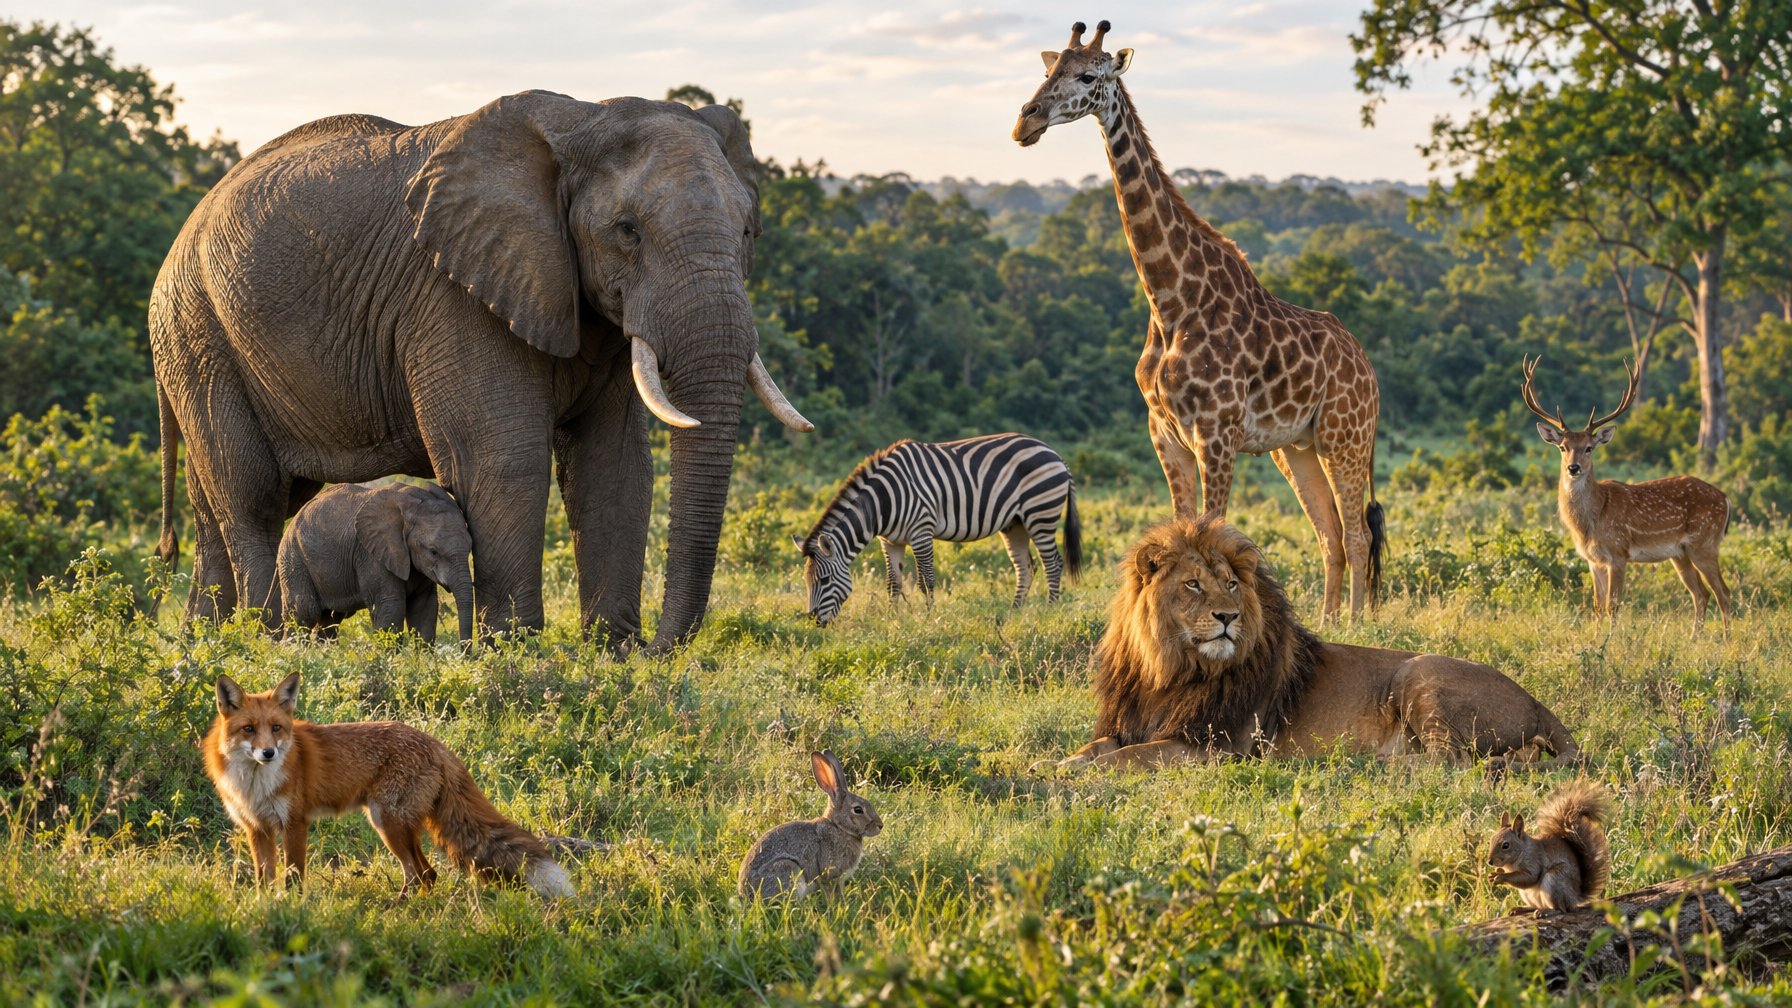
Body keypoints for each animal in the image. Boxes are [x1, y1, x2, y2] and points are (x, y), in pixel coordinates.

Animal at [794, 433, 1082, 625]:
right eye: (806, 582)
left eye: (824, 580)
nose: (812, 621)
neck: (883, 503)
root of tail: (1056, 454)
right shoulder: (890, 541)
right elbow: (893, 583)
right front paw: (891, 619)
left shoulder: (921, 532)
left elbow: (926, 581)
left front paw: (928, 619)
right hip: (1015, 524)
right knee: (1026, 567)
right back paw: (1014, 613)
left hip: (1040, 513)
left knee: (1052, 564)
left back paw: (1049, 611)